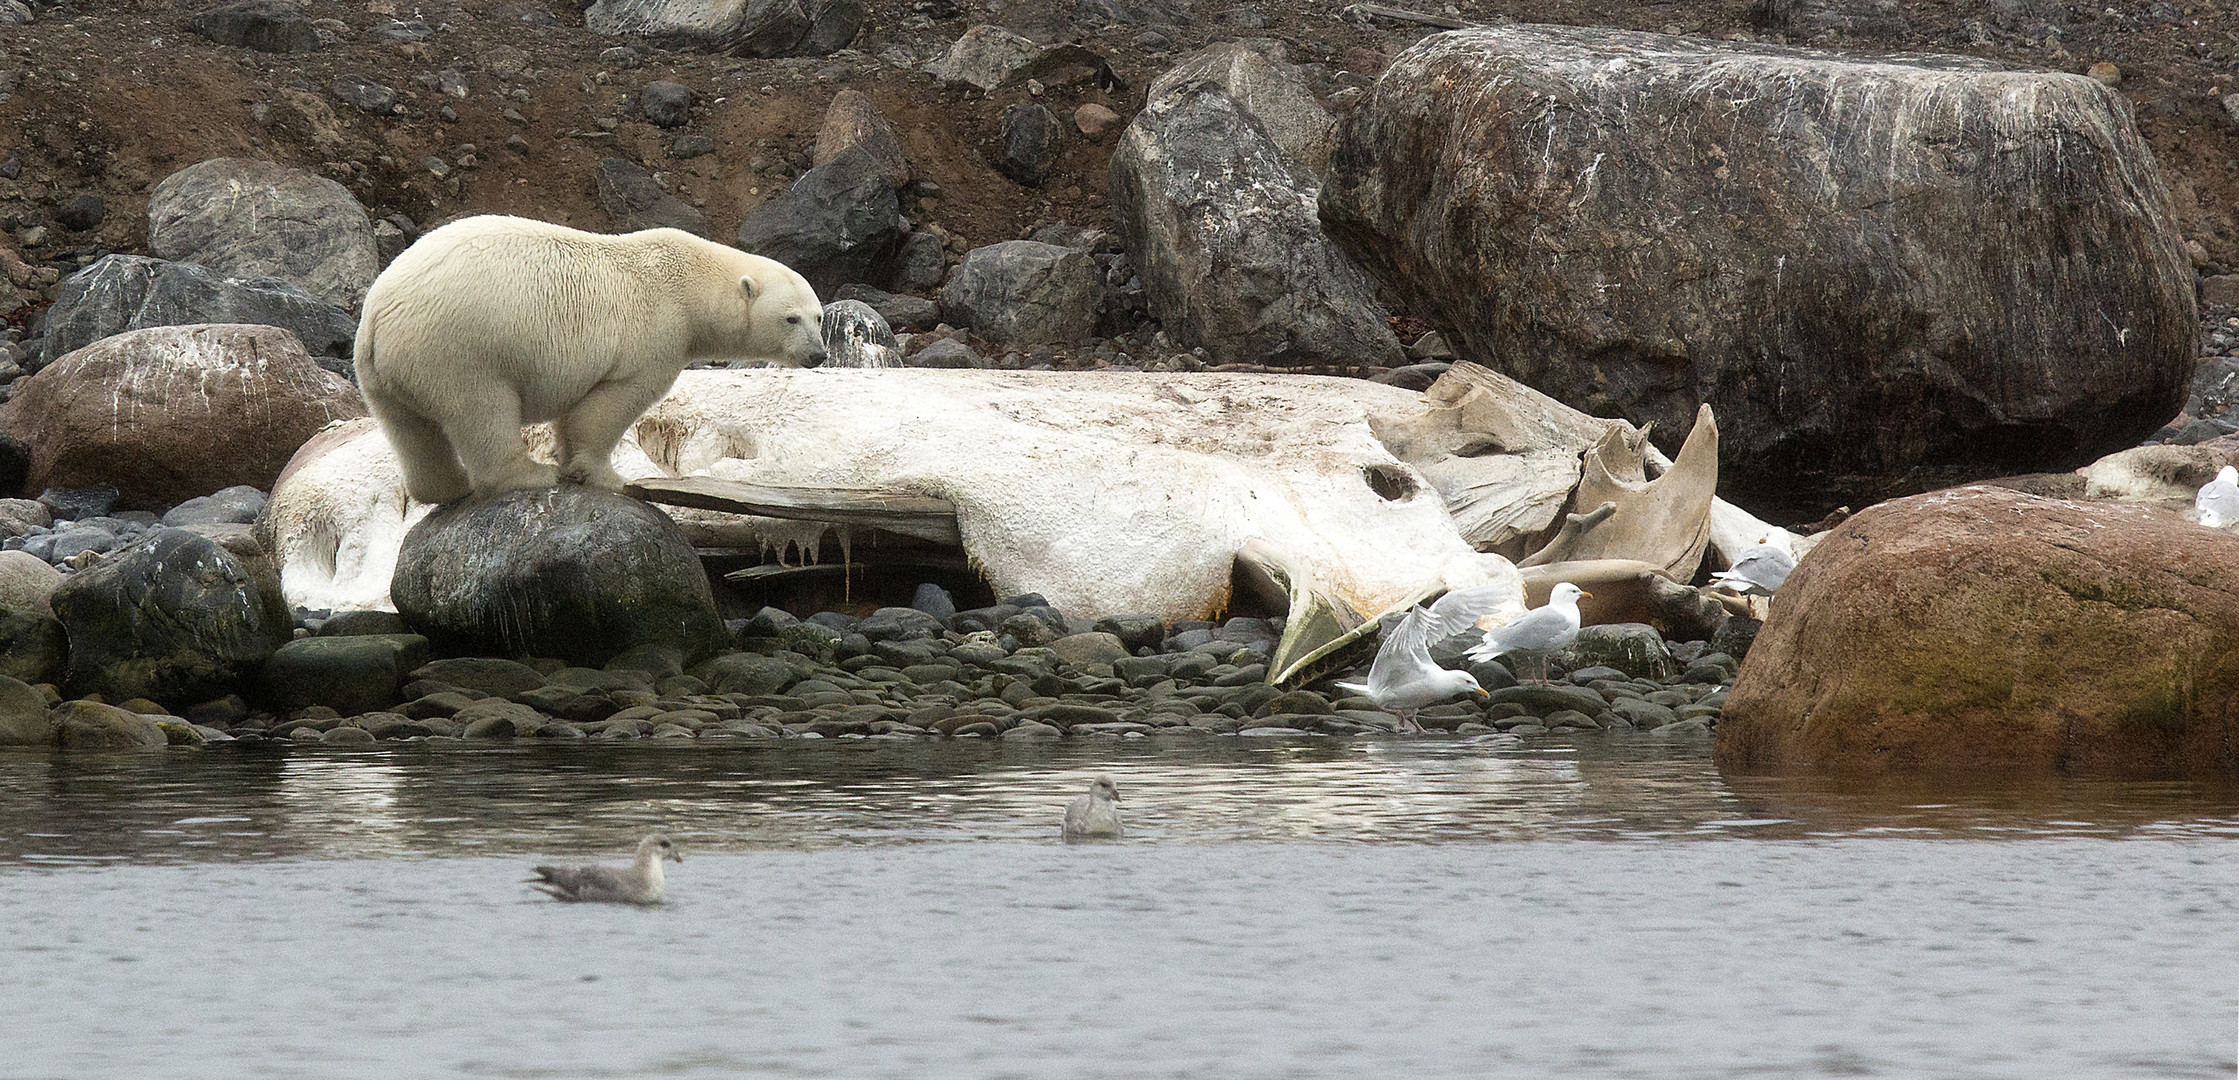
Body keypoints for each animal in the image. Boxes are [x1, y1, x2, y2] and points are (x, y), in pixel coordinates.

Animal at [353, 217, 828, 508]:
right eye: (791, 318)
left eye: (819, 316)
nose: (818, 354)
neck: (691, 285)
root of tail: (380, 313)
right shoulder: (655, 333)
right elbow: (610, 405)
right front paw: (605, 476)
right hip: (459, 348)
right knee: (481, 410)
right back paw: (528, 474)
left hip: (386, 371)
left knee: (410, 429)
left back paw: (447, 487)